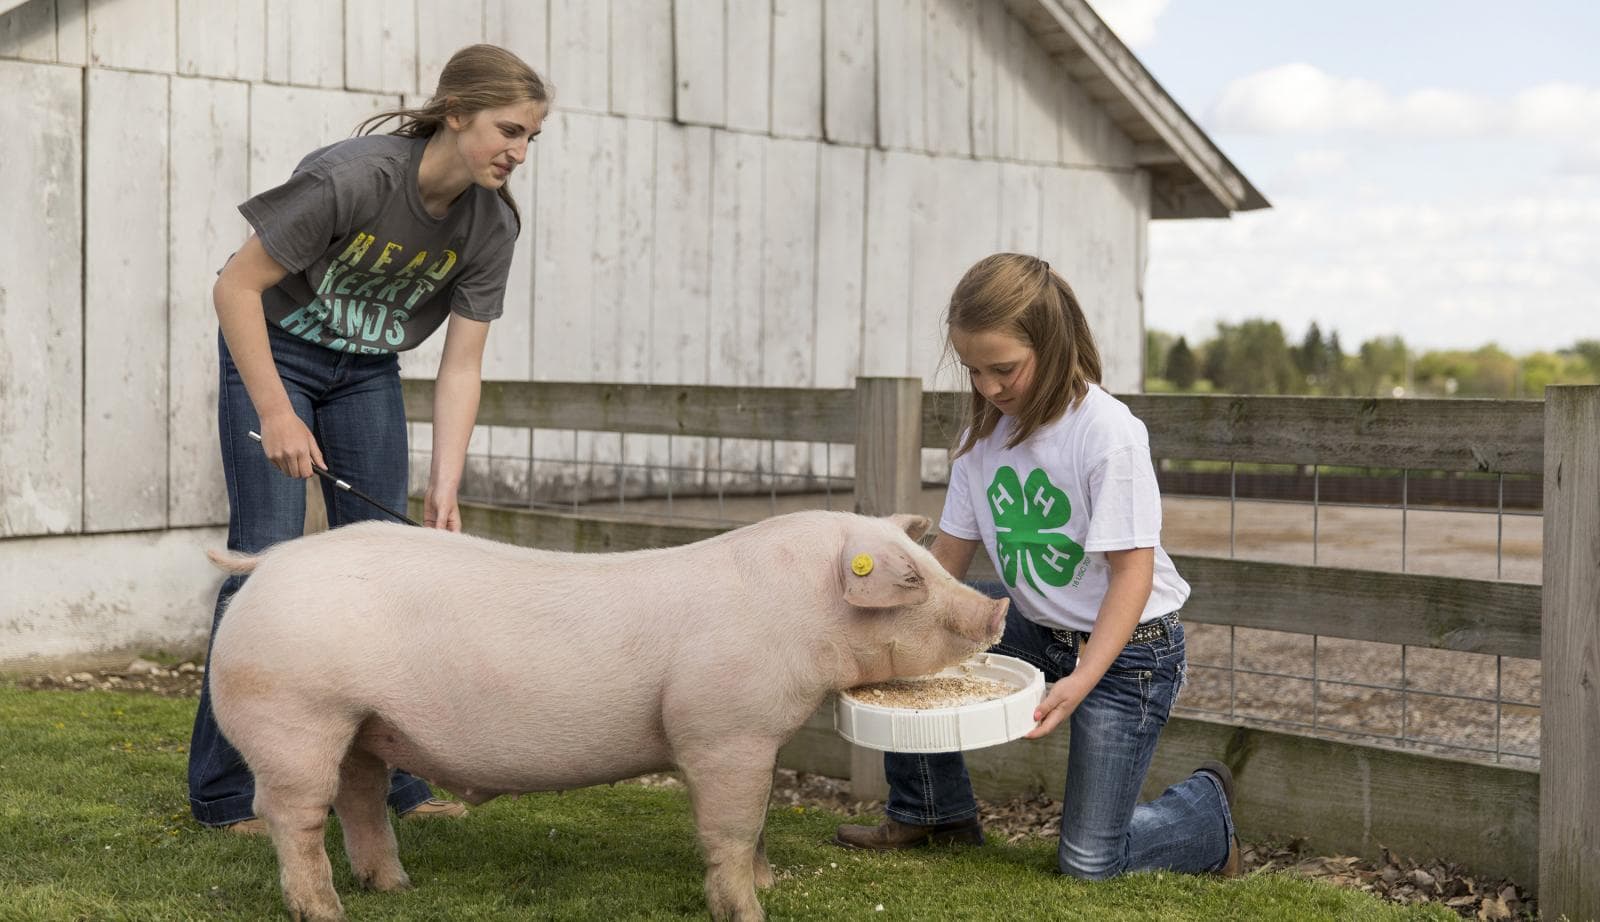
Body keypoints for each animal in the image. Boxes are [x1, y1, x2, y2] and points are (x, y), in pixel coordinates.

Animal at [200, 512, 998, 922]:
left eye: (927, 560)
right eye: (913, 577)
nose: (996, 608)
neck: (798, 612)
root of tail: (266, 564)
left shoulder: (753, 738)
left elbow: (762, 819)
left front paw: (767, 885)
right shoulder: (722, 728)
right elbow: (733, 827)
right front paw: (751, 911)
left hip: (363, 724)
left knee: (360, 798)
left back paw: (396, 890)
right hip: (295, 712)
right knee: (295, 815)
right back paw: (326, 911)